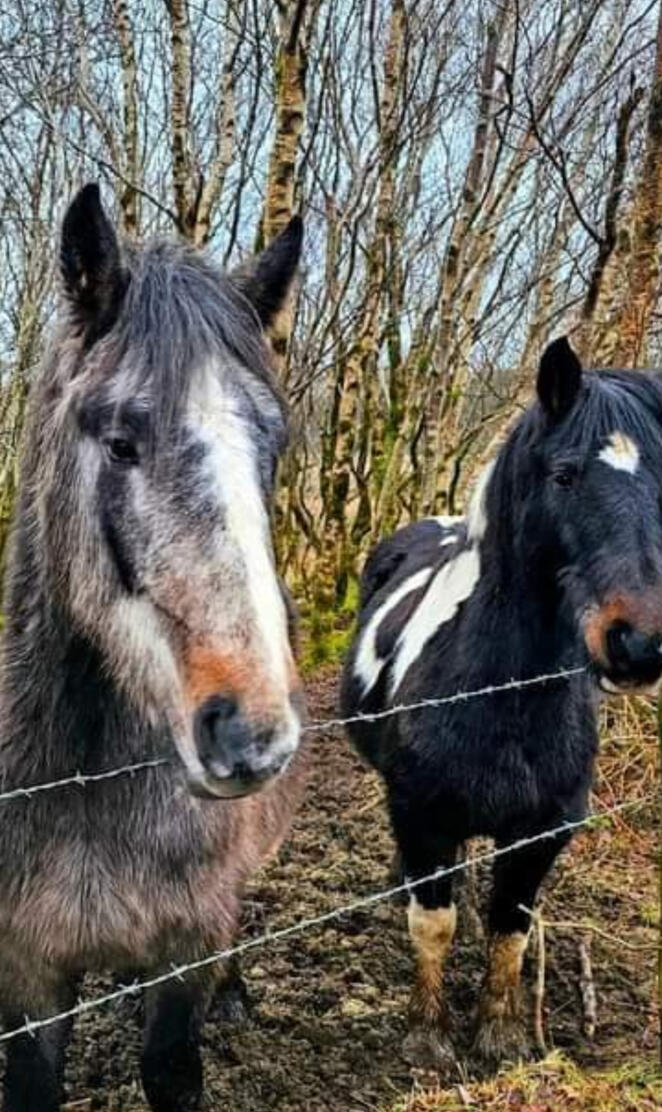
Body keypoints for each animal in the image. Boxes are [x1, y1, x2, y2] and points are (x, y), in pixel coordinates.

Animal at [0, 183, 306, 1111]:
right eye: (120, 441)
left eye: (272, 451)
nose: (251, 733)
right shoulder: (28, 978)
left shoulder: (183, 952)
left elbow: (171, 1066)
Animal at [340, 338, 662, 1071]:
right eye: (565, 475)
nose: (640, 643)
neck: (505, 700)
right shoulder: (421, 815)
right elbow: (433, 923)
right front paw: (428, 1037)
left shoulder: (542, 832)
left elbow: (508, 930)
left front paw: (501, 1034)